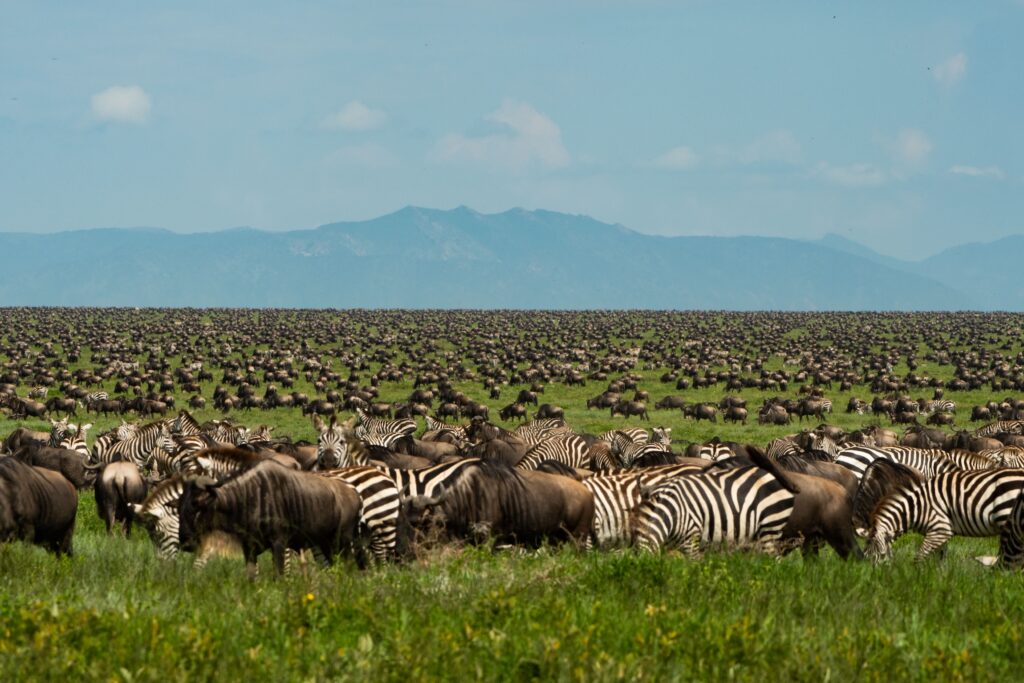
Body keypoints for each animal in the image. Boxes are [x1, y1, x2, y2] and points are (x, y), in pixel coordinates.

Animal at [859, 461, 1024, 561]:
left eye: (877, 556)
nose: (872, 576)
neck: (916, 507)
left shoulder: (940, 529)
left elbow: (920, 556)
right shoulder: (941, 534)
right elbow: (941, 557)